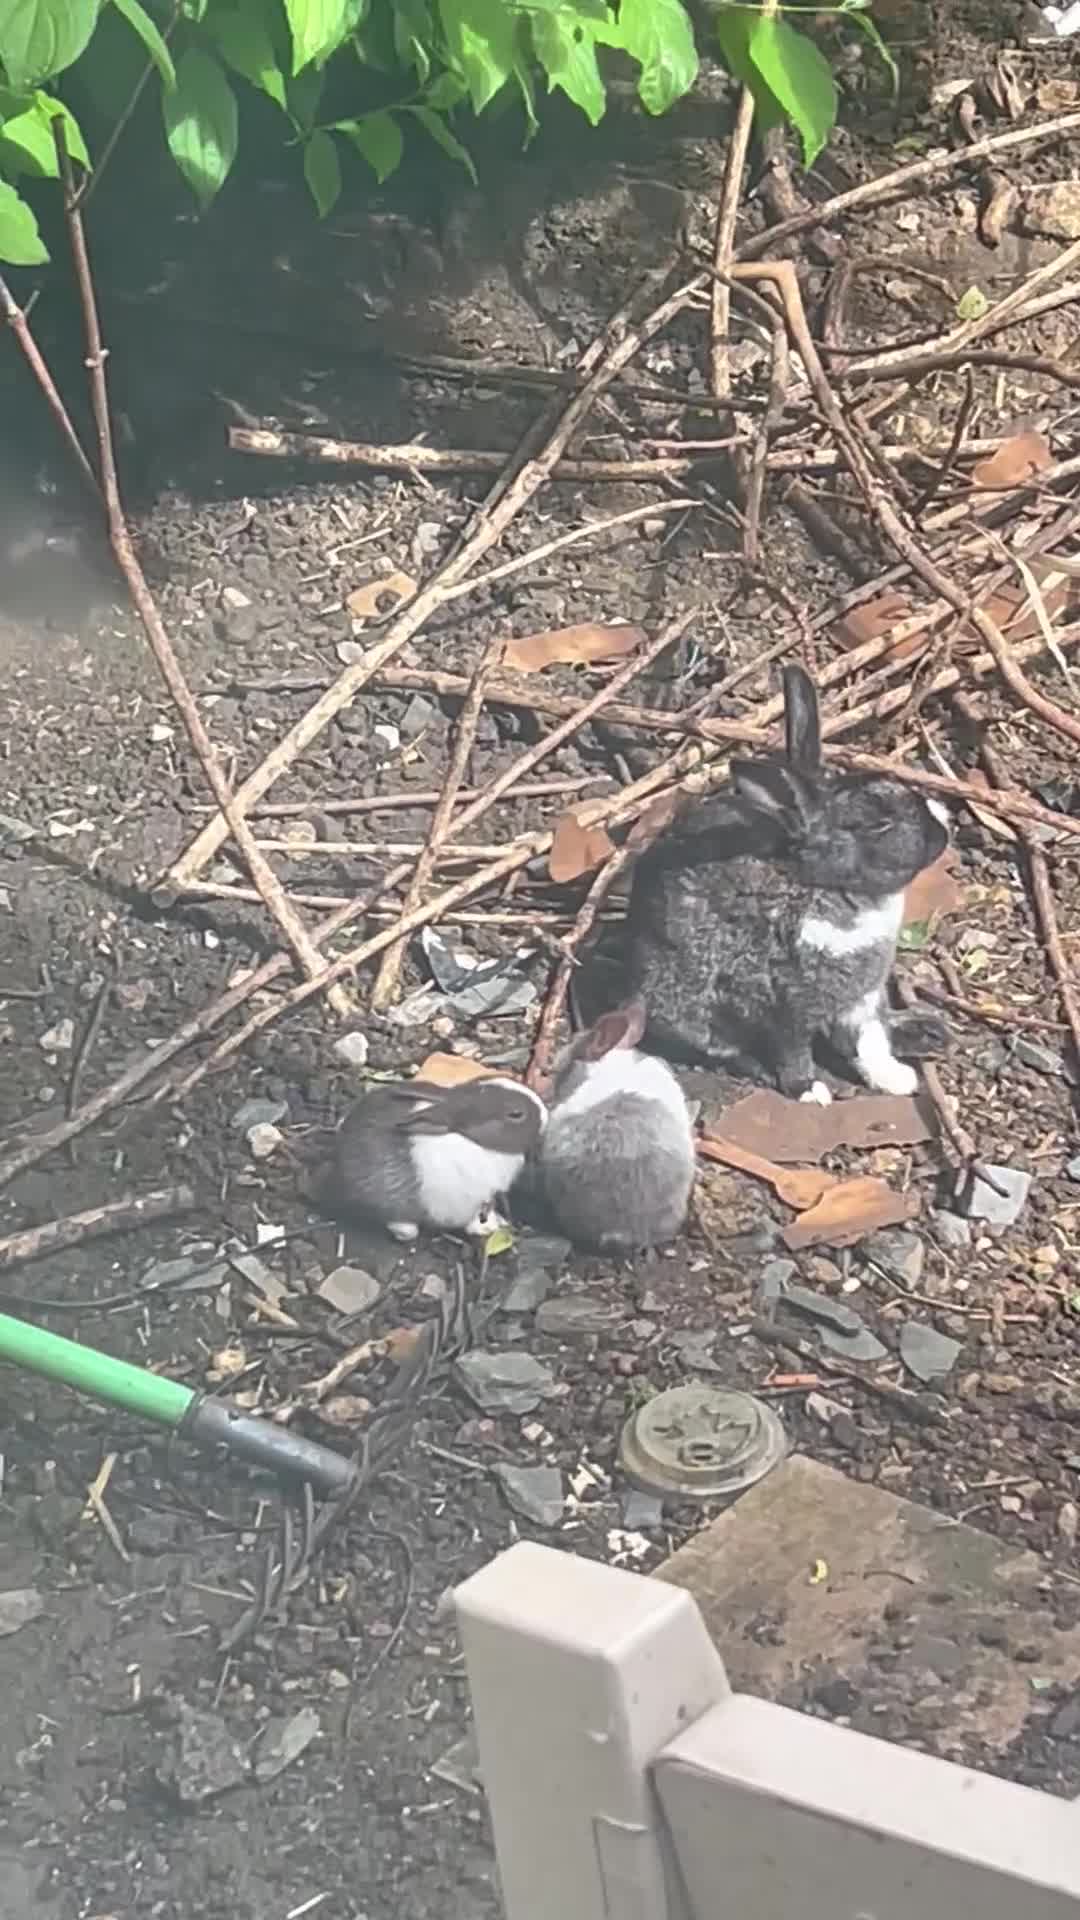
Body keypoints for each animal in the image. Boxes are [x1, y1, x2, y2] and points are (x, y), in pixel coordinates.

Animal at [622, 663, 950, 1106]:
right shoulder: (784, 1006)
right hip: (687, 1007)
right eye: (878, 824)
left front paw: (896, 1080)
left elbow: (870, 1042)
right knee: (721, 1047)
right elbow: (793, 1052)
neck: (826, 887)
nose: (943, 831)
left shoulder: (862, 1000)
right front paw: (810, 1091)